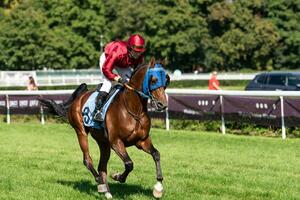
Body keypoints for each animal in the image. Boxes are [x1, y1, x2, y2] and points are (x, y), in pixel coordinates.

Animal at [40, 57, 169, 198]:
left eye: (166, 79)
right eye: (154, 80)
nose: (162, 104)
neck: (133, 109)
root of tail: (79, 98)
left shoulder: (141, 141)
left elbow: (156, 154)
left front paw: (158, 188)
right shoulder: (116, 142)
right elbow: (129, 164)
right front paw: (117, 176)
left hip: (103, 143)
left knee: (102, 166)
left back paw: (107, 193)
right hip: (81, 131)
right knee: (87, 160)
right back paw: (101, 184)